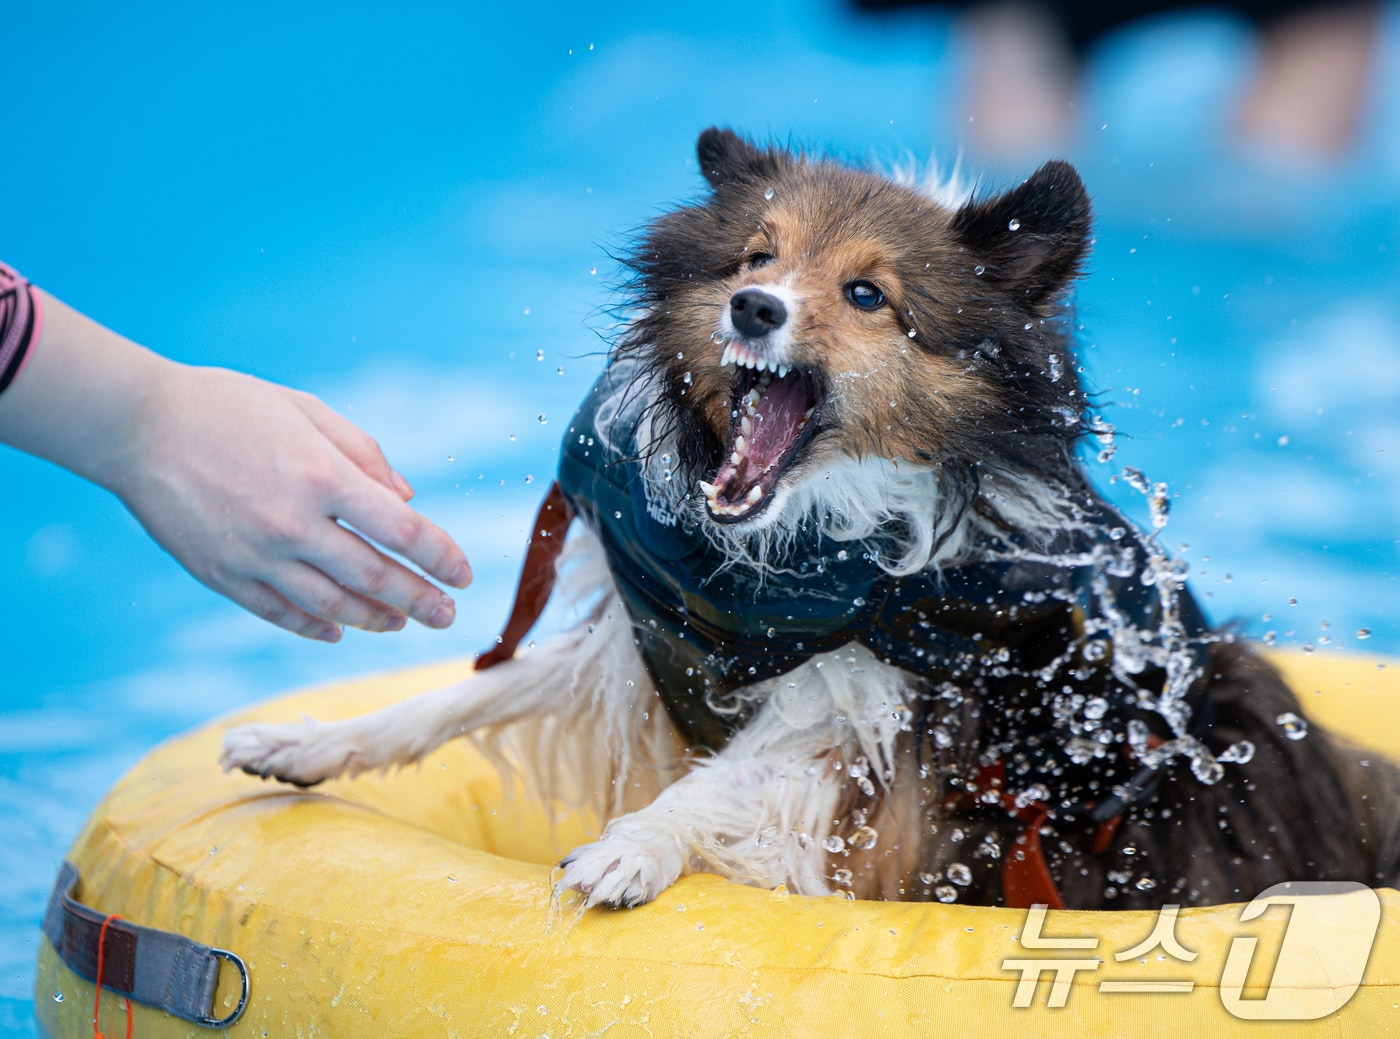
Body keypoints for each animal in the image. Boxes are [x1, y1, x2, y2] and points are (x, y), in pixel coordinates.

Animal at [218, 128, 1400, 912]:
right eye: (755, 257)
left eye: (869, 296)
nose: (754, 309)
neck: (803, 555)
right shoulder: (659, 650)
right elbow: (472, 691)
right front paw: (306, 741)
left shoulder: (872, 724)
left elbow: (731, 779)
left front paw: (632, 848)